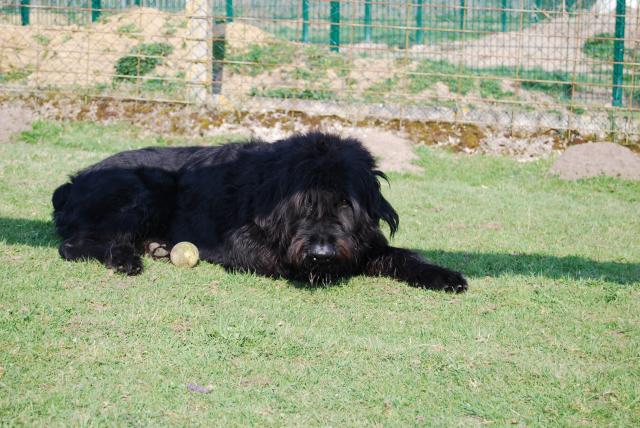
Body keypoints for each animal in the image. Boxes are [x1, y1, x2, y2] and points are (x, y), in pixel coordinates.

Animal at [52, 134, 468, 292]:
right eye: (305, 203)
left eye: (345, 204)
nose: (322, 254)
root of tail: (72, 182)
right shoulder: (239, 240)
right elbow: (271, 258)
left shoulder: (365, 241)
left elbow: (400, 255)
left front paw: (443, 275)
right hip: (146, 190)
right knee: (72, 246)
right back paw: (126, 258)